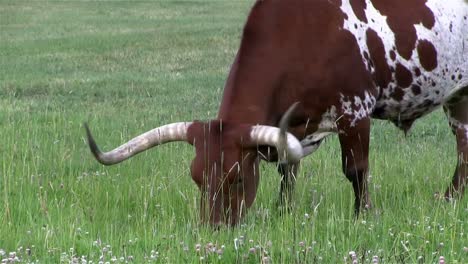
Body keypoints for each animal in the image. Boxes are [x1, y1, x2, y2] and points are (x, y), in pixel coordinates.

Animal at [85, 0, 468, 227]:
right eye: (196, 178)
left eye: (238, 179)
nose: (212, 229)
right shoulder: (292, 126)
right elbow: (288, 168)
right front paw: (283, 212)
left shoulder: (355, 111)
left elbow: (356, 170)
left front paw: (364, 215)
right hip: (458, 97)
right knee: (464, 145)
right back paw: (451, 198)